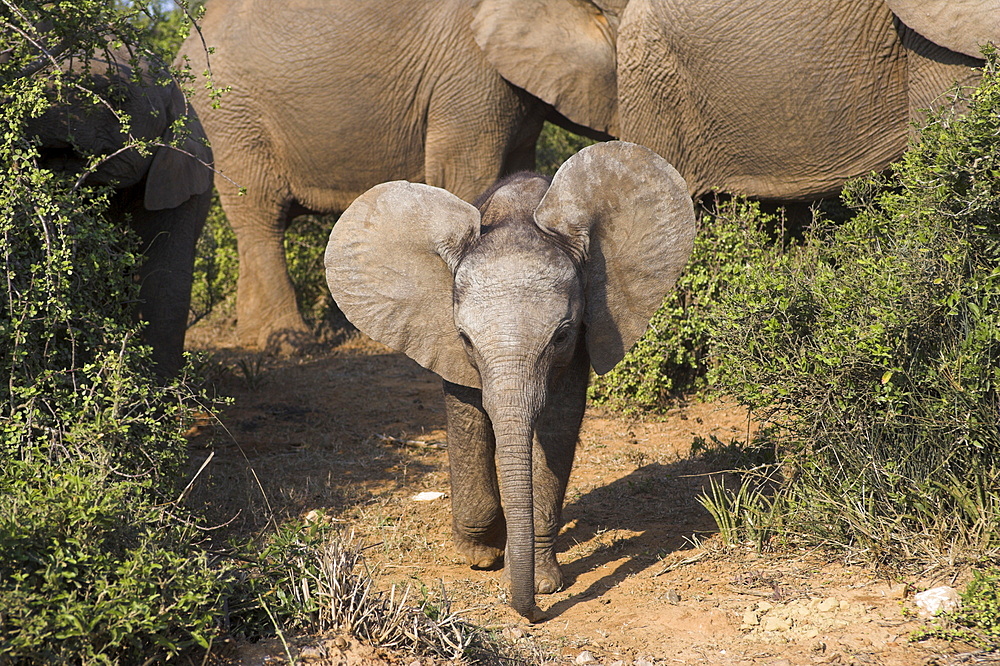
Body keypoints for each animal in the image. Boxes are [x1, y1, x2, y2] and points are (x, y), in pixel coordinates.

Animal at [324, 139, 692, 616]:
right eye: (465, 338)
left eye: (562, 334)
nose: (532, 612)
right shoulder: (446, 343)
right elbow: (468, 416)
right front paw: (482, 556)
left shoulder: (579, 343)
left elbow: (557, 424)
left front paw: (543, 583)